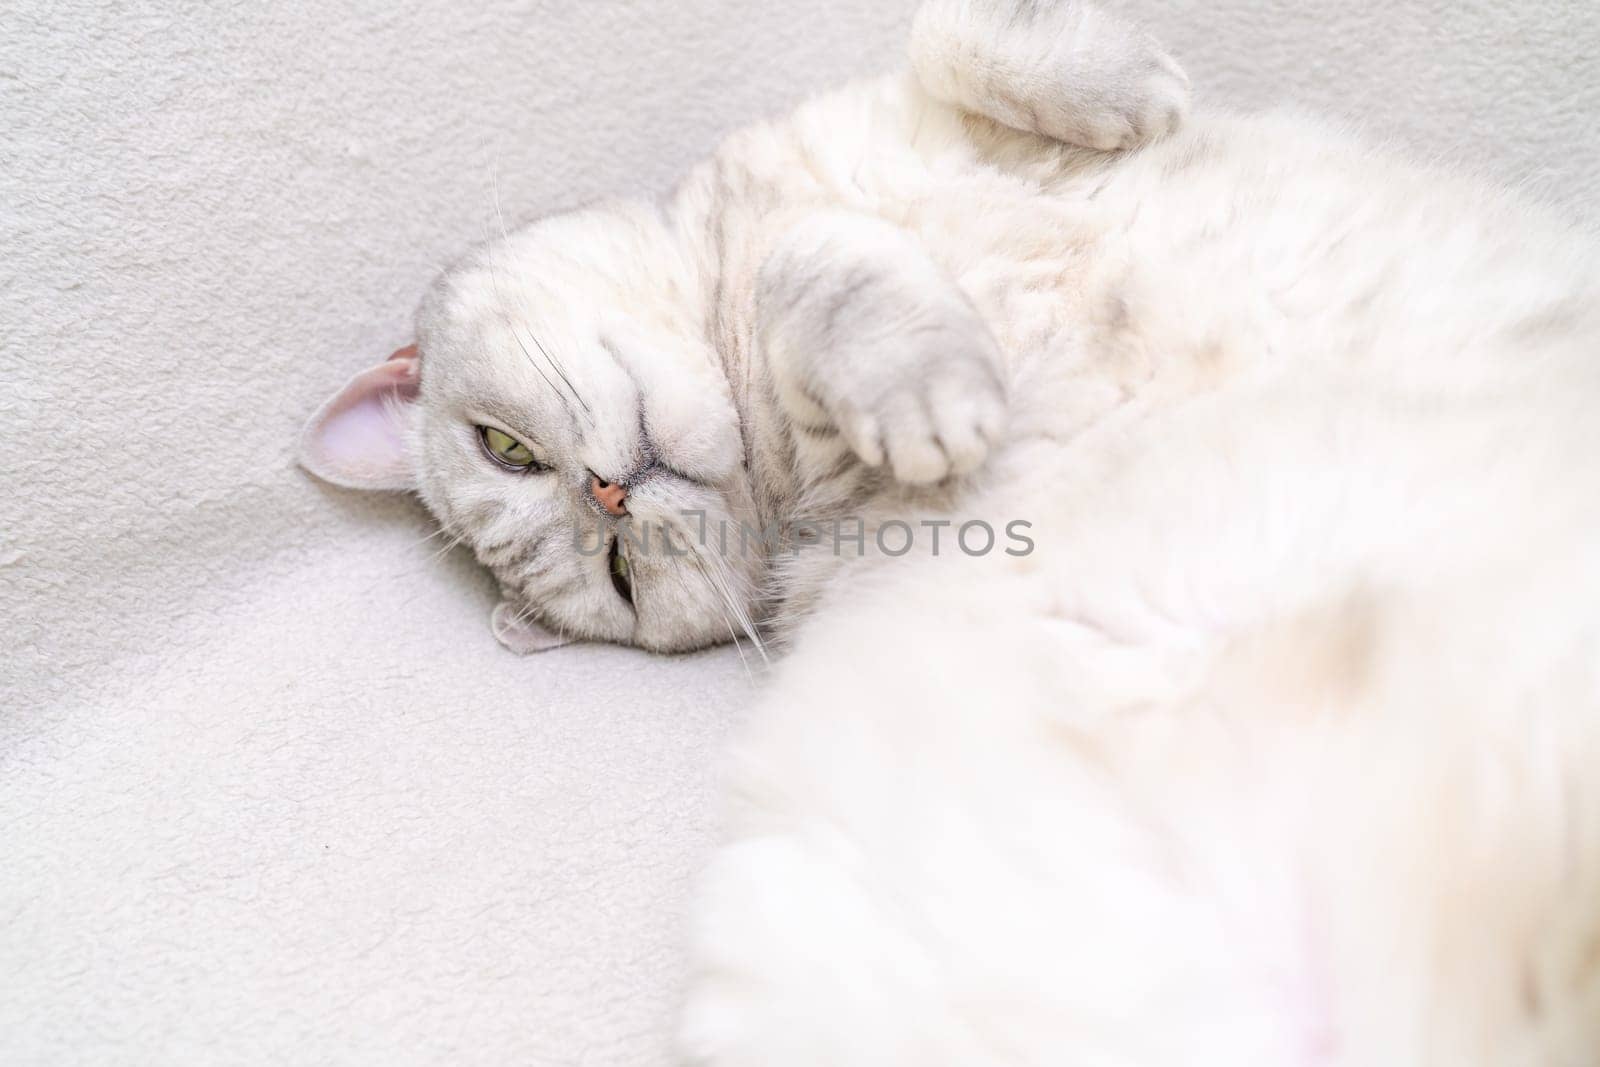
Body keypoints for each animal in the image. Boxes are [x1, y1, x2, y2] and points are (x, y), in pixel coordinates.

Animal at [300, 2, 1600, 1062]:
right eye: (617, 575)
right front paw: (927, 387)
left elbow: (951, 37)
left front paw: (1133, 83)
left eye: (502, 448)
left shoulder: (893, 108)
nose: (609, 497)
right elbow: (817, 262)